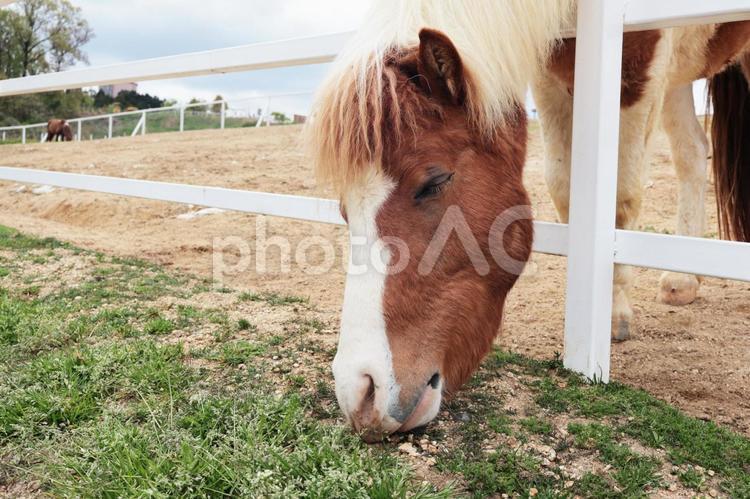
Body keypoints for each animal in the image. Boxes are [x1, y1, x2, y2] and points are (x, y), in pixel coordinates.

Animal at [306, 0, 750, 441]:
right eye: (345, 208)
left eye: (433, 183)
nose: (362, 390)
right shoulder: (551, 78)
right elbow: (565, 186)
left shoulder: (636, 66)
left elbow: (620, 194)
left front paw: (612, 311)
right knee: (691, 151)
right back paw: (682, 281)